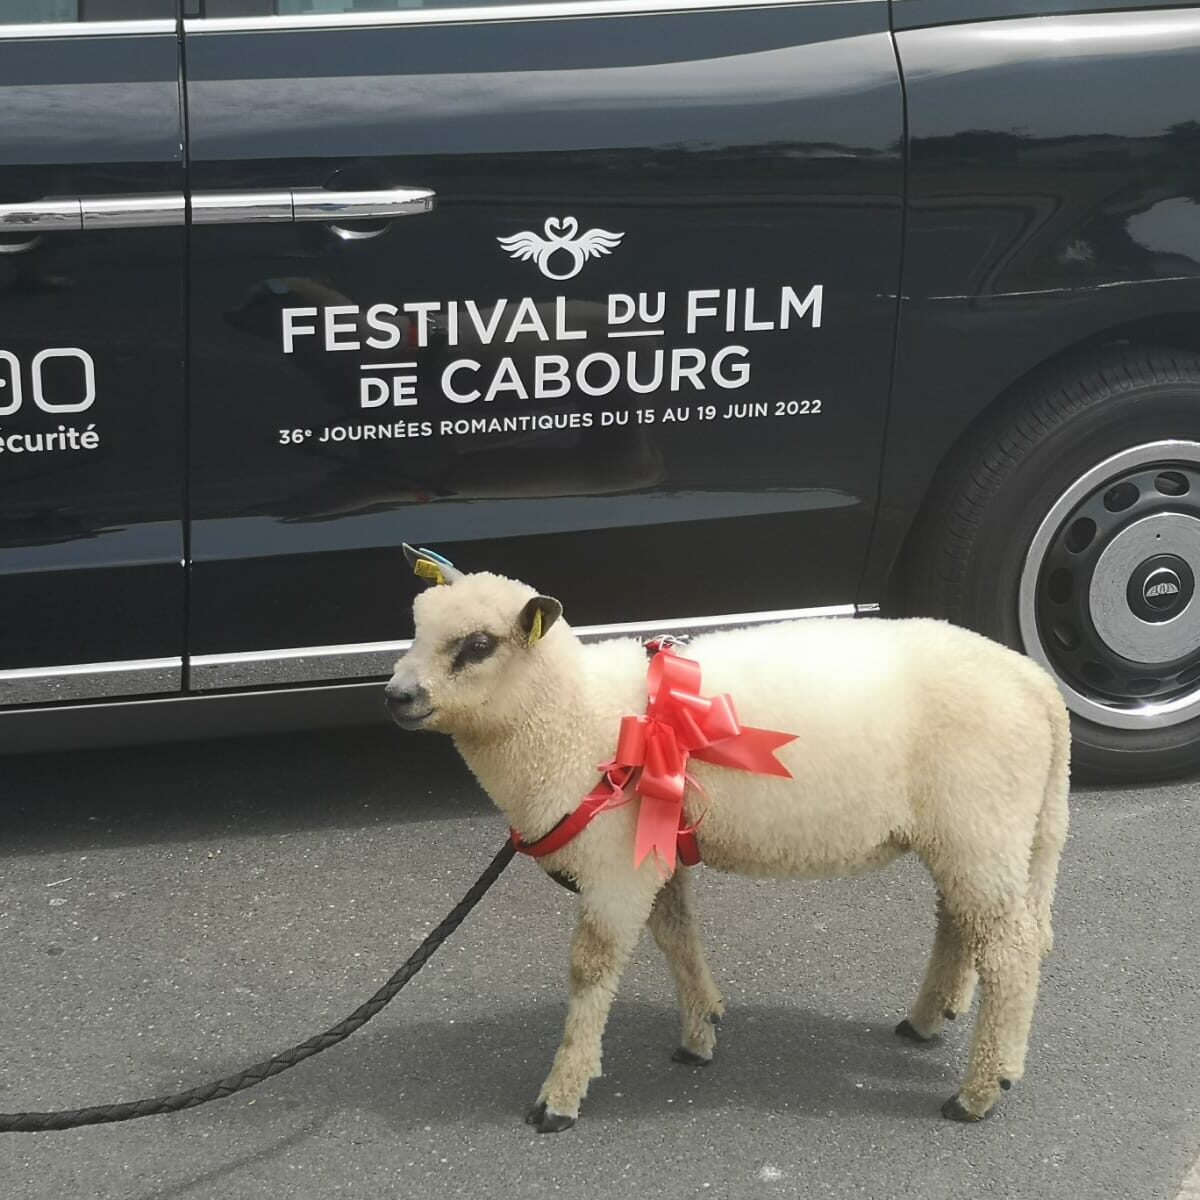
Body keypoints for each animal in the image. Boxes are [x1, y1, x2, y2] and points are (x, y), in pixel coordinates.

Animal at [384, 549, 1070, 1128]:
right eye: (415, 627)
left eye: (478, 645)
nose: (396, 696)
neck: (576, 721)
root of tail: (1037, 685)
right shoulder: (655, 848)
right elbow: (676, 936)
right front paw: (700, 1032)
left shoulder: (615, 864)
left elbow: (591, 967)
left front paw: (560, 1096)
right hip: (975, 830)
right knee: (962, 922)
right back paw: (927, 1021)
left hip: (981, 821)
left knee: (1009, 950)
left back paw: (979, 1091)